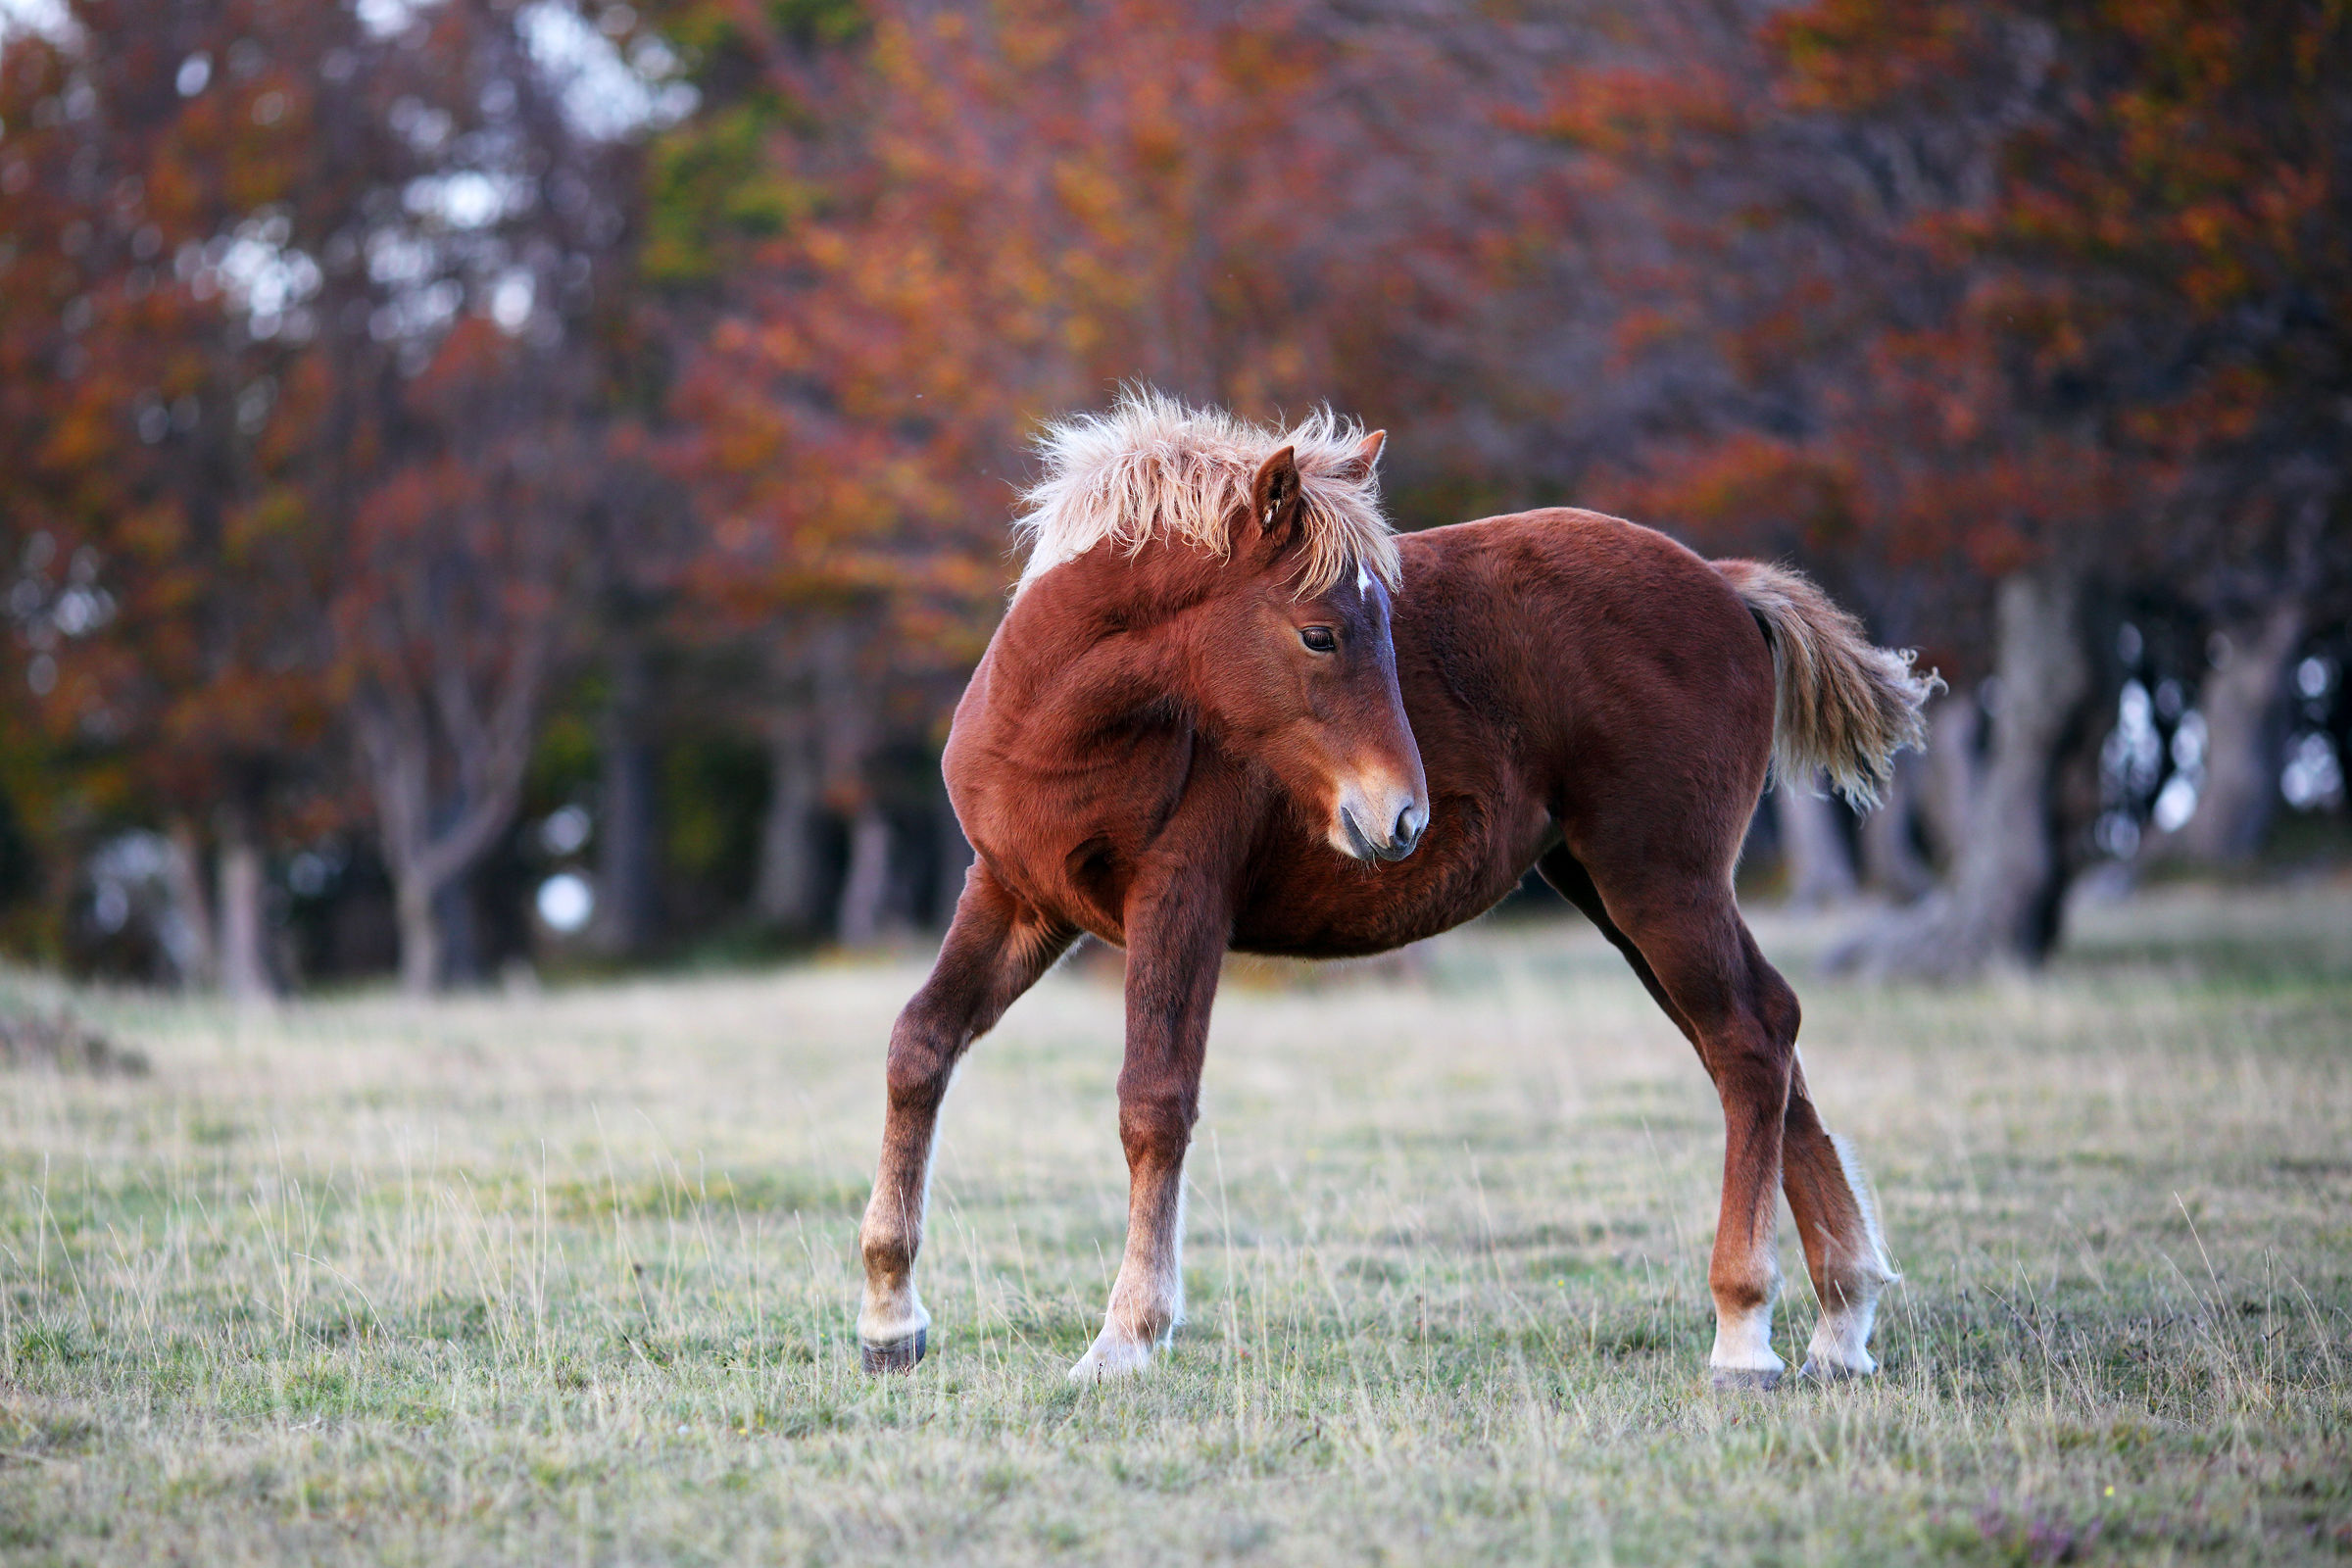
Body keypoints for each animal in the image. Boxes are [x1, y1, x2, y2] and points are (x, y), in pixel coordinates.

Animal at [856, 389, 1935, 1388]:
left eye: (1382, 621)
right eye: (1322, 634)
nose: (1402, 817)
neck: (1058, 732)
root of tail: (1726, 586)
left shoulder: (1180, 899)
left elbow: (1153, 1101)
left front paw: (1124, 1338)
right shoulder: (1014, 896)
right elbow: (918, 1047)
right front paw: (887, 1318)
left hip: (1661, 882)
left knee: (1748, 1041)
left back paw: (1744, 1334)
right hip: (1616, 890)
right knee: (1760, 1033)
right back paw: (1840, 1326)